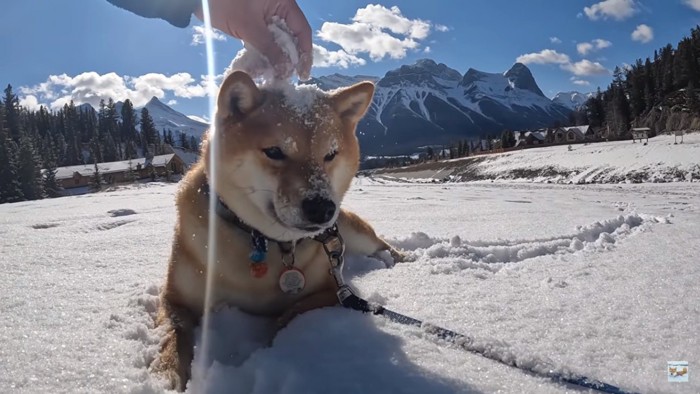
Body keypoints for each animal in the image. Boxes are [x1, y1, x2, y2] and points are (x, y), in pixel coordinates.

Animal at [153, 71, 404, 390]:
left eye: (331, 154)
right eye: (274, 151)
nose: (322, 208)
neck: (262, 240)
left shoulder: (333, 293)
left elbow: (288, 316)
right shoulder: (175, 299)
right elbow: (173, 334)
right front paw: (167, 376)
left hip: (353, 234)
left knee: (384, 247)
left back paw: (399, 262)